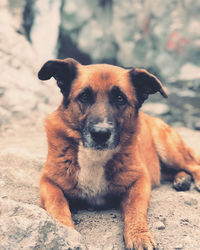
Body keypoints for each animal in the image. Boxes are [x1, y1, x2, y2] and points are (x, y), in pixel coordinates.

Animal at [38, 58, 200, 248]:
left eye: (120, 98)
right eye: (84, 96)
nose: (101, 134)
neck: (95, 156)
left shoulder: (140, 180)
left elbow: (135, 209)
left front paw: (139, 235)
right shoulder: (47, 181)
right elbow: (57, 203)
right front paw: (65, 232)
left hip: (169, 150)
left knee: (193, 164)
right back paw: (181, 179)